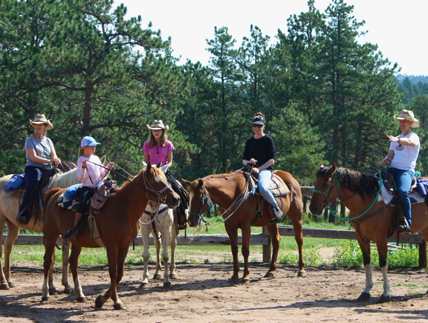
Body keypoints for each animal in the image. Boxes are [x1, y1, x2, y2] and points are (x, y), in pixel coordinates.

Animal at [0, 163, 78, 292]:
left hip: (12, 224)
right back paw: (3, 282)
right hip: (1, 221)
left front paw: (65, 285)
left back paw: (9, 280)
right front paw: (51, 287)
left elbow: (64, 256)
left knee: (7, 247)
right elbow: (51, 257)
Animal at [41, 163, 179, 310]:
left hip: (76, 241)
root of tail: (55, 192)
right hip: (51, 236)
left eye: (166, 179)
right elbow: (113, 272)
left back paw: (79, 294)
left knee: (73, 262)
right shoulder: (112, 246)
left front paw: (101, 299)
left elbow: (120, 273)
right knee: (48, 261)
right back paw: (45, 293)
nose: (176, 199)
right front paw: (116, 301)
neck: (123, 207)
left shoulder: (124, 246)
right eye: (155, 181)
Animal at [310, 165, 428, 304]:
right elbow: (367, 262)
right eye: (315, 182)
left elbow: (383, 264)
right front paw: (366, 291)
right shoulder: (361, 238)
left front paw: (386, 293)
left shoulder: (381, 239)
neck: (369, 201)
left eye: (326, 184)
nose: (313, 208)